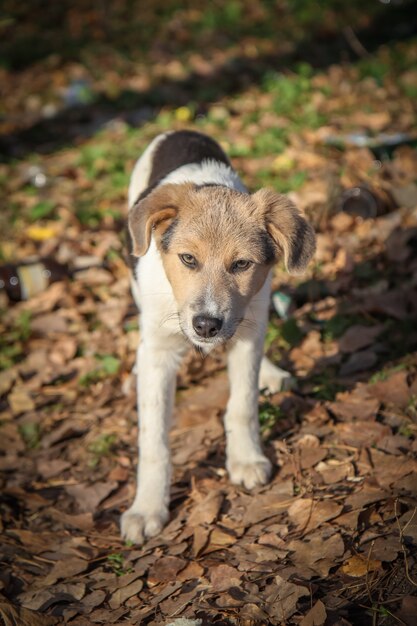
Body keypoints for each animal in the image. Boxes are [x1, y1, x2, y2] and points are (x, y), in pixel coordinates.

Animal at [118, 128, 314, 540]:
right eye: (188, 259)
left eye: (241, 264)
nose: (206, 325)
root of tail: (181, 129)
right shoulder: (160, 355)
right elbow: (153, 440)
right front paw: (147, 508)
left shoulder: (245, 333)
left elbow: (242, 404)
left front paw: (246, 459)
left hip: (255, 313)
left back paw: (270, 372)